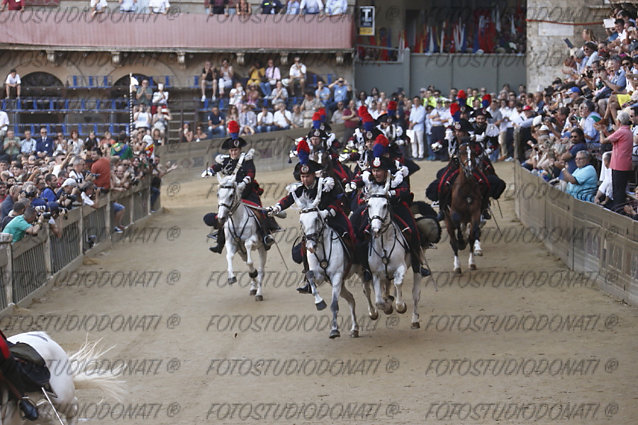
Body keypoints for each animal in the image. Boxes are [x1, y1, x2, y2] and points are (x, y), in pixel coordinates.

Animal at [292, 178, 360, 338]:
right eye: (301, 221)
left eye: (317, 219)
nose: (310, 246)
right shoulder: (321, 276)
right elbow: (310, 276)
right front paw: (319, 302)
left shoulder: (336, 277)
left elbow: (334, 305)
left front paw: (334, 330)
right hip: (341, 284)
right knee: (351, 298)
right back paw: (355, 329)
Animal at [368, 177, 422, 330]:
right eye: (368, 205)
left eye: (385, 205)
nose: (375, 229)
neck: (384, 244)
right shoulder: (375, 273)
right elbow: (378, 300)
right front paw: (387, 307)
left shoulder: (401, 267)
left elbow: (398, 283)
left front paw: (400, 306)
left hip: (417, 266)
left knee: (415, 294)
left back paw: (414, 320)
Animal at [444, 144, 484, 274]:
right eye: (461, 153)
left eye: (473, 153)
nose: (469, 169)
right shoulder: (454, 214)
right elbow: (458, 235)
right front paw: (461, 243)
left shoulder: (475, 214)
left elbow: (471, 237)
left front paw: (472, 263)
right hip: (447, 219)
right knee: (453, 240)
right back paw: (457, 265)